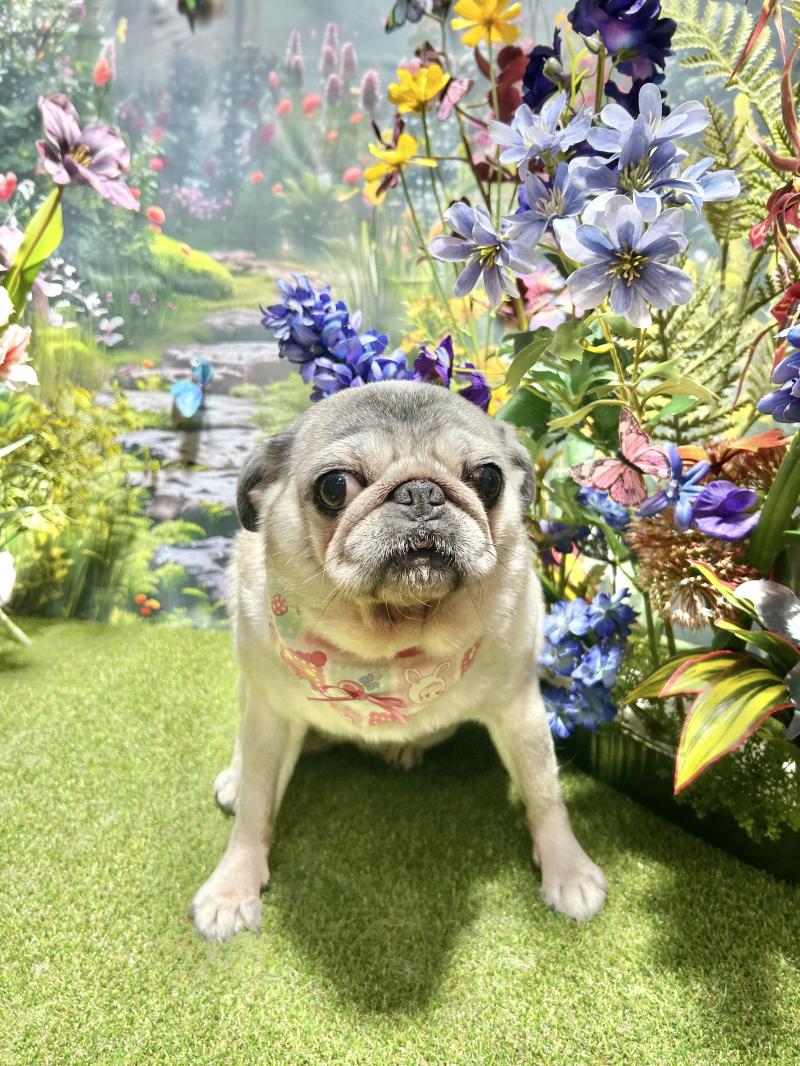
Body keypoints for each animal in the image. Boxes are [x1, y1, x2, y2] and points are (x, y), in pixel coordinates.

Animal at [190, 380, 606, 942]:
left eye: (488, 479)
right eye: (334, 488)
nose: (421, 493)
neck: (390, 648)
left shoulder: (520, 711)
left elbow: (545, 793)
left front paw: (567, 870)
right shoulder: (270, 715)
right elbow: (255, 809)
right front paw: (233, 887)